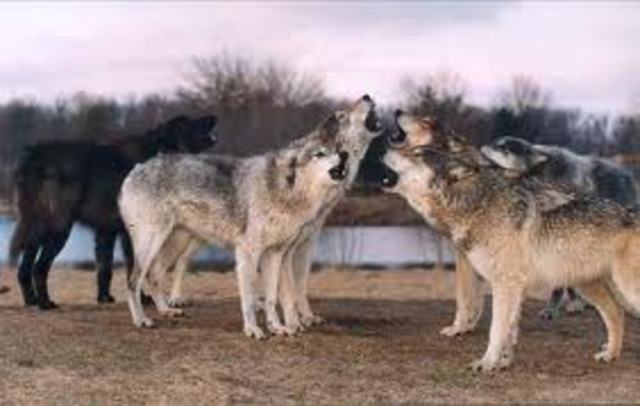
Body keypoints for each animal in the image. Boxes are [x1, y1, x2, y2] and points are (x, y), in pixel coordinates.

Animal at [8, 115, 218, 309]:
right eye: (190, 122)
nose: (213, 117)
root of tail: (37, 154)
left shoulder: (106, 232)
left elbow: (105, 268)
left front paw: (104, 298)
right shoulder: (130, 234)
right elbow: (133, 268)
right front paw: (142, 299)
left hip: (37, 227)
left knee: (24, 268)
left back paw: (31, 300)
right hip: (58, 229)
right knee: (39, 268)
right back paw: (44, 303)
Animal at [118, 96, 378, 338]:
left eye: (336, 151)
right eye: (320, 154)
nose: (343, 156)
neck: (286, 190)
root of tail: (136, 169)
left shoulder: (277, 253)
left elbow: (273, 297)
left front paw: (278, 327)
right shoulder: (249, 253)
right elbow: (254, 298)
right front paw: (255, 329)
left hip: (174, 243)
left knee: (154, 275)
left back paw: (166, 310)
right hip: (156, 242)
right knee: (134, 280)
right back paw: (141, 320)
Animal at [482, 136, 638, 320]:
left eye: (504, 148)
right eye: (495, 142)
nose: (482, 147)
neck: (542, 176)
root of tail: (626, 173)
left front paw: (564, 306)